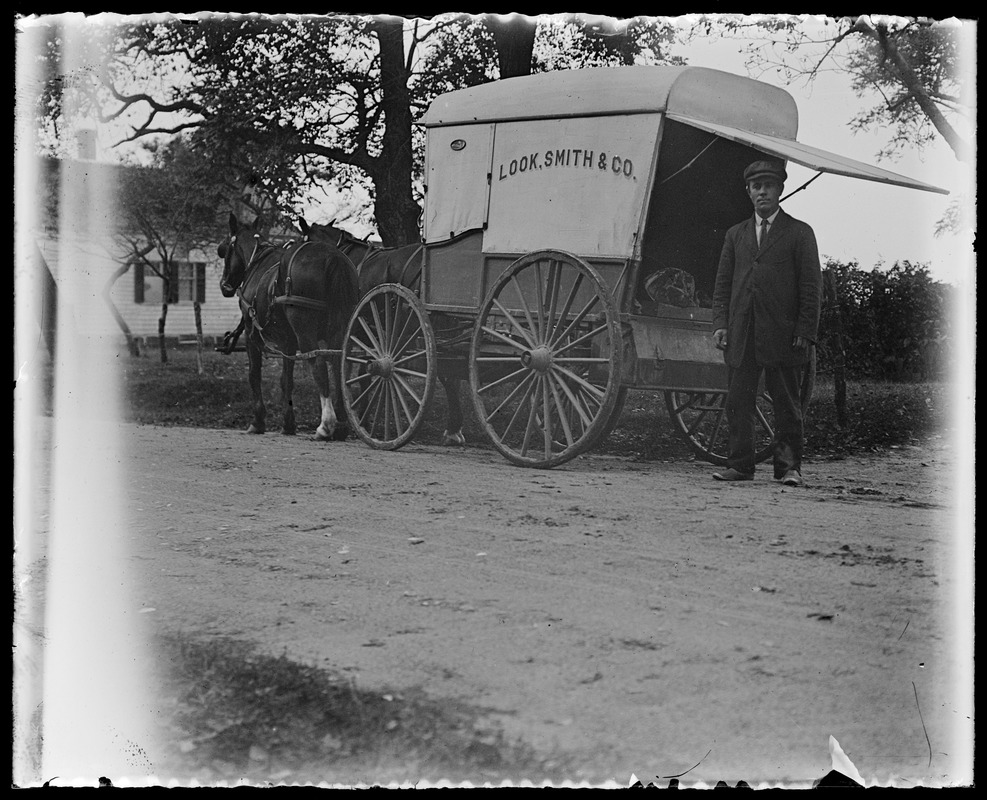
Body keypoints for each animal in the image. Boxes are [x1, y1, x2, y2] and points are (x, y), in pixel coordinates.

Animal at [220, 212, 362, 440]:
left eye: (226, 250)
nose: (224, 286)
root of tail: (332, 257)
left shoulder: (252, 336)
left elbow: (254, 375)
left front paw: (258, 421)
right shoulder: (288, 341)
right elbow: (286, 380)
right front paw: (288, 423)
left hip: (305, 333)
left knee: (319, 365)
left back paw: (326, 425)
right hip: (340, 327)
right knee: (340, 364)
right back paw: (341, 425)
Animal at [298, 219, 466, 444]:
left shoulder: (357, 330)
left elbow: (354, 371)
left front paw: (354, 419)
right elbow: (359, 372)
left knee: (447, 374)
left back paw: (453, 427)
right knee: (453, 373)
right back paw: (454, 426)